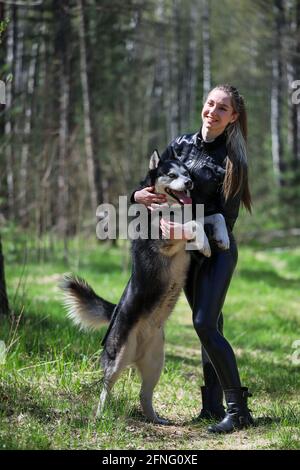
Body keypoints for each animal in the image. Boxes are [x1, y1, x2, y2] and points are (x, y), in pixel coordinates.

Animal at [60, 151, 230, 426]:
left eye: (187, 174)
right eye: (171, 175)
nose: (190, 183)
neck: (170, 209)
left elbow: (214, 217)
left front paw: (222, 238)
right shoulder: (166, 238)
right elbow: (194, 224)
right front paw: (204, 244)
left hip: (155, 364)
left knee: (144, 395)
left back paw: (156, 420)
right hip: (117, 358)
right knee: (105, 388)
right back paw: (100, 416)